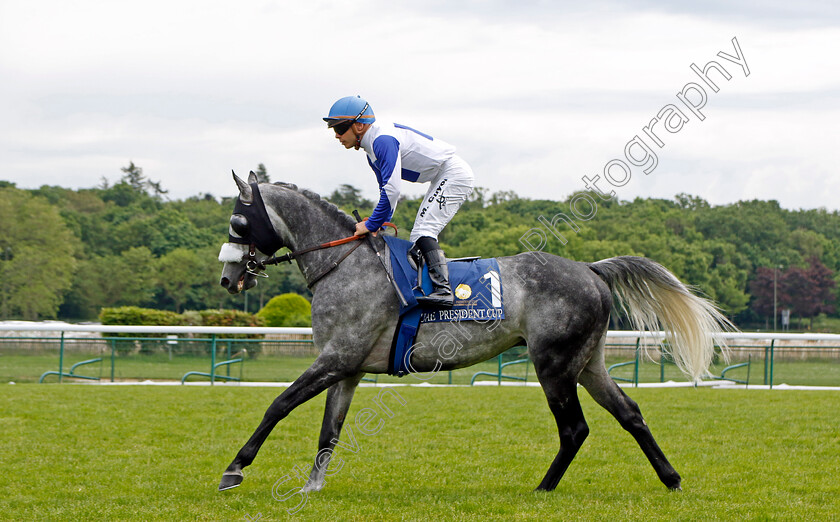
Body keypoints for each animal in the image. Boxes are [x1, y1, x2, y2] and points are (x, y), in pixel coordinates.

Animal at [218, 171, 736, 492]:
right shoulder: (347, 368)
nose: (228, 278)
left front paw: (235, 469)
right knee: (629, 413)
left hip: (554, 365)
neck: (344, 265)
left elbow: (279, 404)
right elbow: (330, 429)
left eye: (239, 221)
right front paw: (313, 484)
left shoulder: (336, 357)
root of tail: (591, 270)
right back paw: (671, 478)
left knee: (575, 428)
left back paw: (543, 488)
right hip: (588, 363)